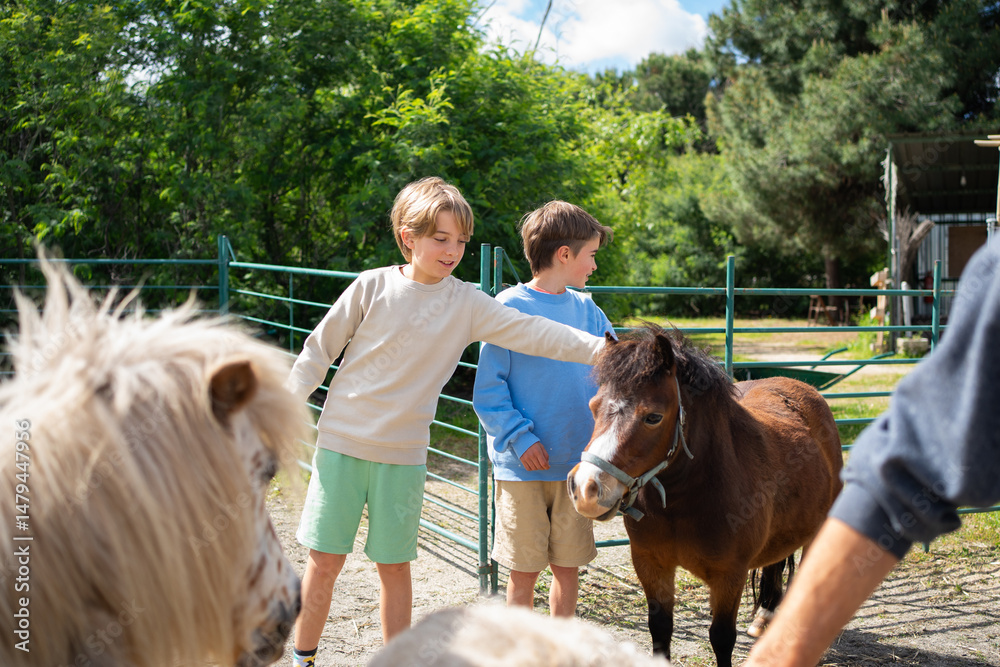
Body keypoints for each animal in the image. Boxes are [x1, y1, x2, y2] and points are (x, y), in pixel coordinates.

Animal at [567, 325, 843, 667]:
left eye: (653, 417)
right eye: (593, 407)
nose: (586, 489)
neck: (684, 499)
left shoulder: (729, 576)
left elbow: (721, 638)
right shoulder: (651, 564)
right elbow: (660, 627)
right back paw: (765, 617)